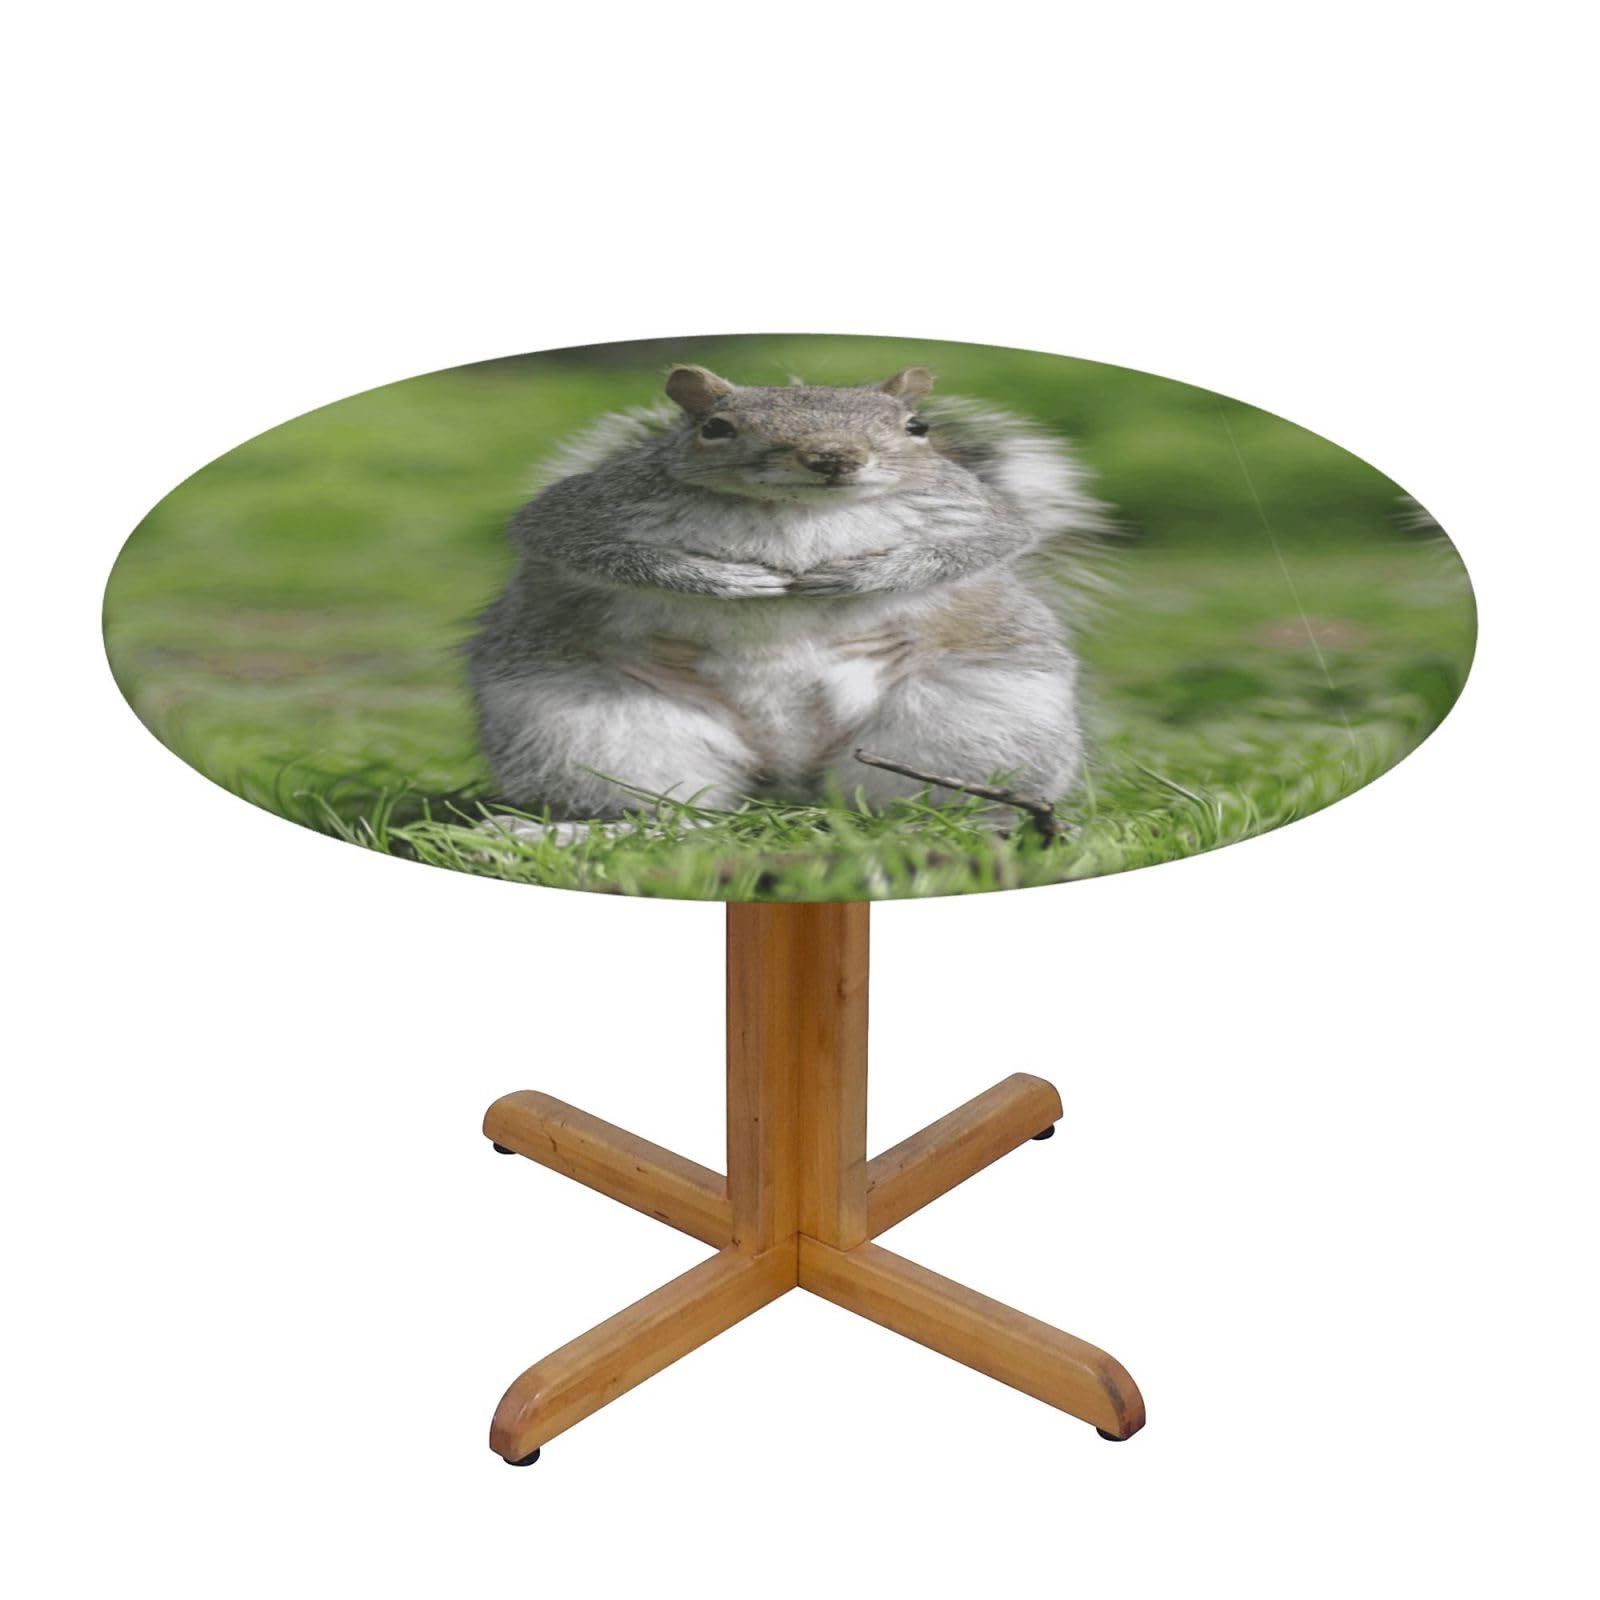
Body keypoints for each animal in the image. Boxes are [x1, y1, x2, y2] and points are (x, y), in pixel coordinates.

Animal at [469, 363, 1106, 821]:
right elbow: (598, 551)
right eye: (715, 428)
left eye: (916, 428)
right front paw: (725, 579)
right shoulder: (579, 514)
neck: (798, 508)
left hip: (980, 724)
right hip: (586, 727)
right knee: (662, 810)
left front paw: (860, 575)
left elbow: (982, 546)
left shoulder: (979, 515)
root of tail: (786, 779)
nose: (833, 457)